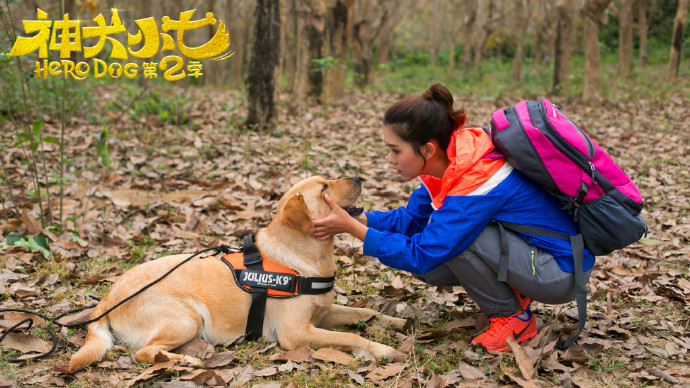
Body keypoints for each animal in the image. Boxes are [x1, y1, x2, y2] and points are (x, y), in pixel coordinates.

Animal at [68, 177, 404, 372]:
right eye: (324, 189)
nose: (359, 176)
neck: (309, 257)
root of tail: (107, 298)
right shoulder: (296, 333)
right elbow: (350, 335)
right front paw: (382, 350)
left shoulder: (323, 314)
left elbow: (363, 313)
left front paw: (396, 321)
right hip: (186, 317)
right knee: (145, 353)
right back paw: (185, 361)